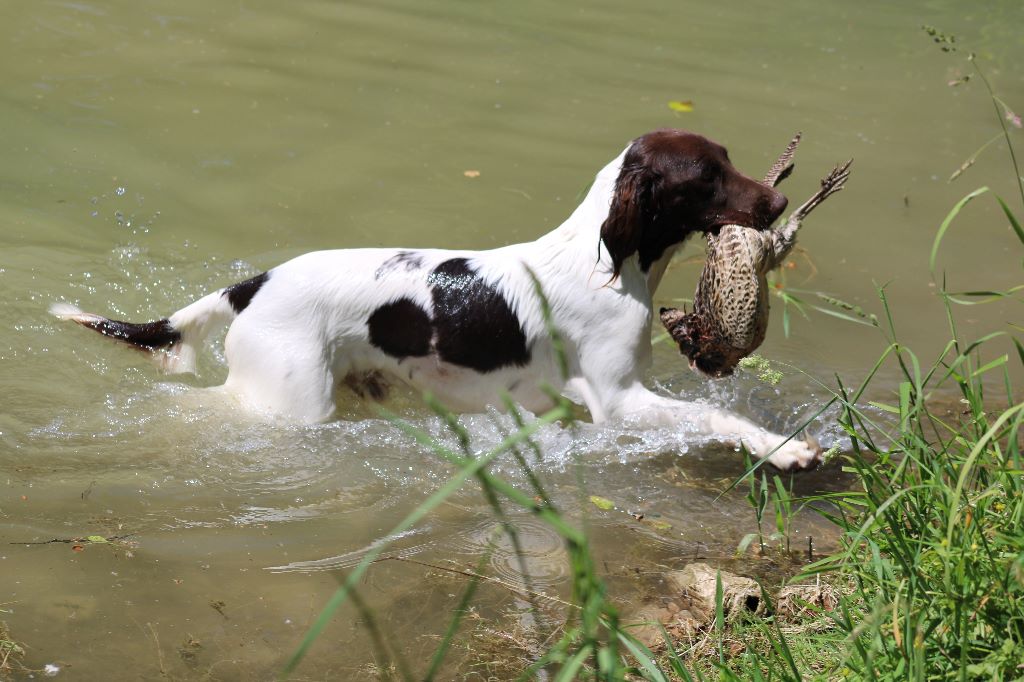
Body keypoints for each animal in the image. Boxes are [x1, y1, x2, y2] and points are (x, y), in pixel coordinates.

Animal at [54, 129, 823, 466]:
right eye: (706, 175)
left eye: (729, 160)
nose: (781, 201)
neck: (604, 260)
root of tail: (253, 284)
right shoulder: (619, 400)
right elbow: (714, 415)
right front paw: (784, 449)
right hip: (289, 402)